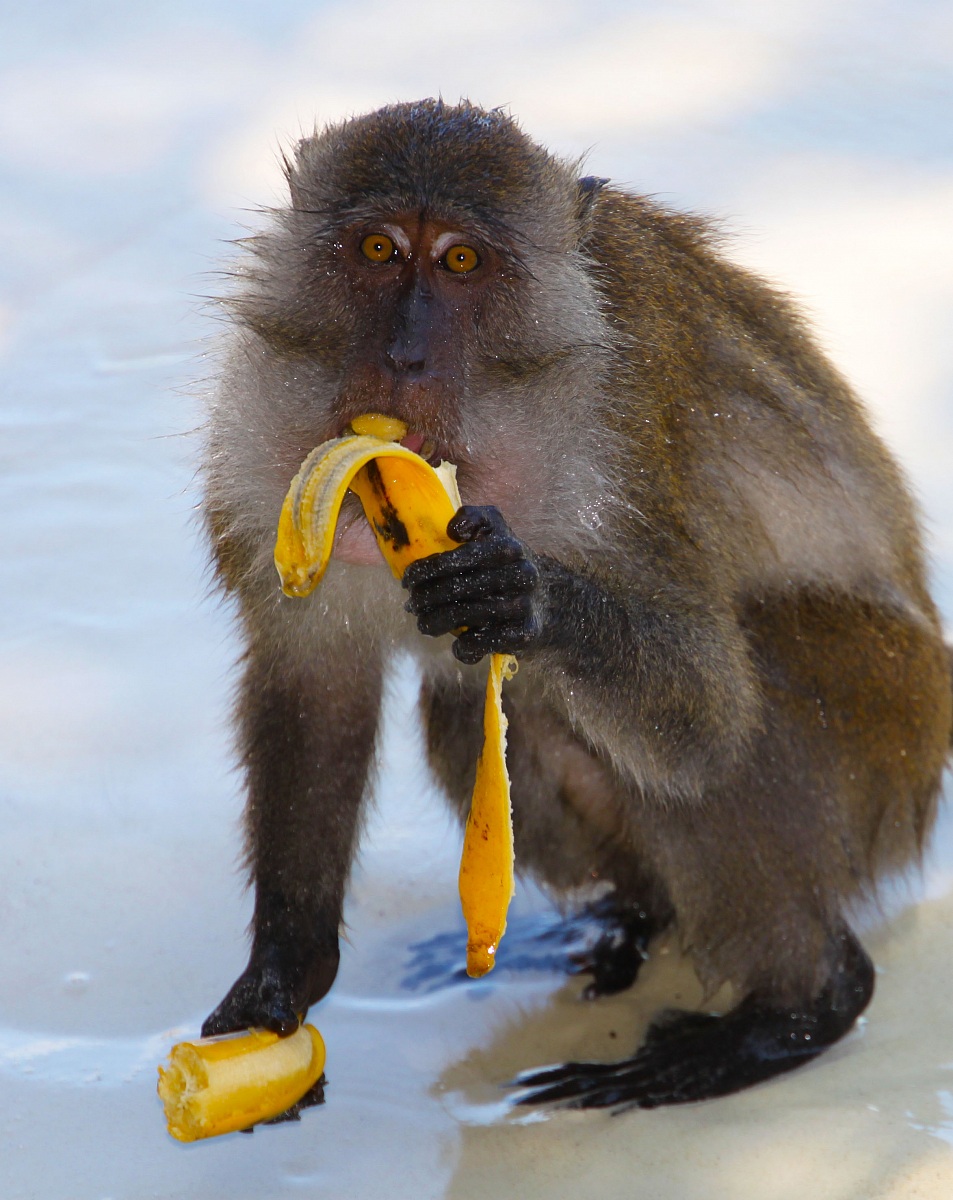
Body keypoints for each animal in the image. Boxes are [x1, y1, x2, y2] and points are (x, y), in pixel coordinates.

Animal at [199, 98, 953, 1110]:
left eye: (461, 262)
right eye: (377, 249)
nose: (402, 354)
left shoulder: (619, 441)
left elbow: (708, 715)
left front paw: (528, 597)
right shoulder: (260, 451)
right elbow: (317, 687)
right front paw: (286, 968)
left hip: (889, 734)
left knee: (737, 721)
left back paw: (796, 1010)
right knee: (478, 711)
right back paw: (628, 923)